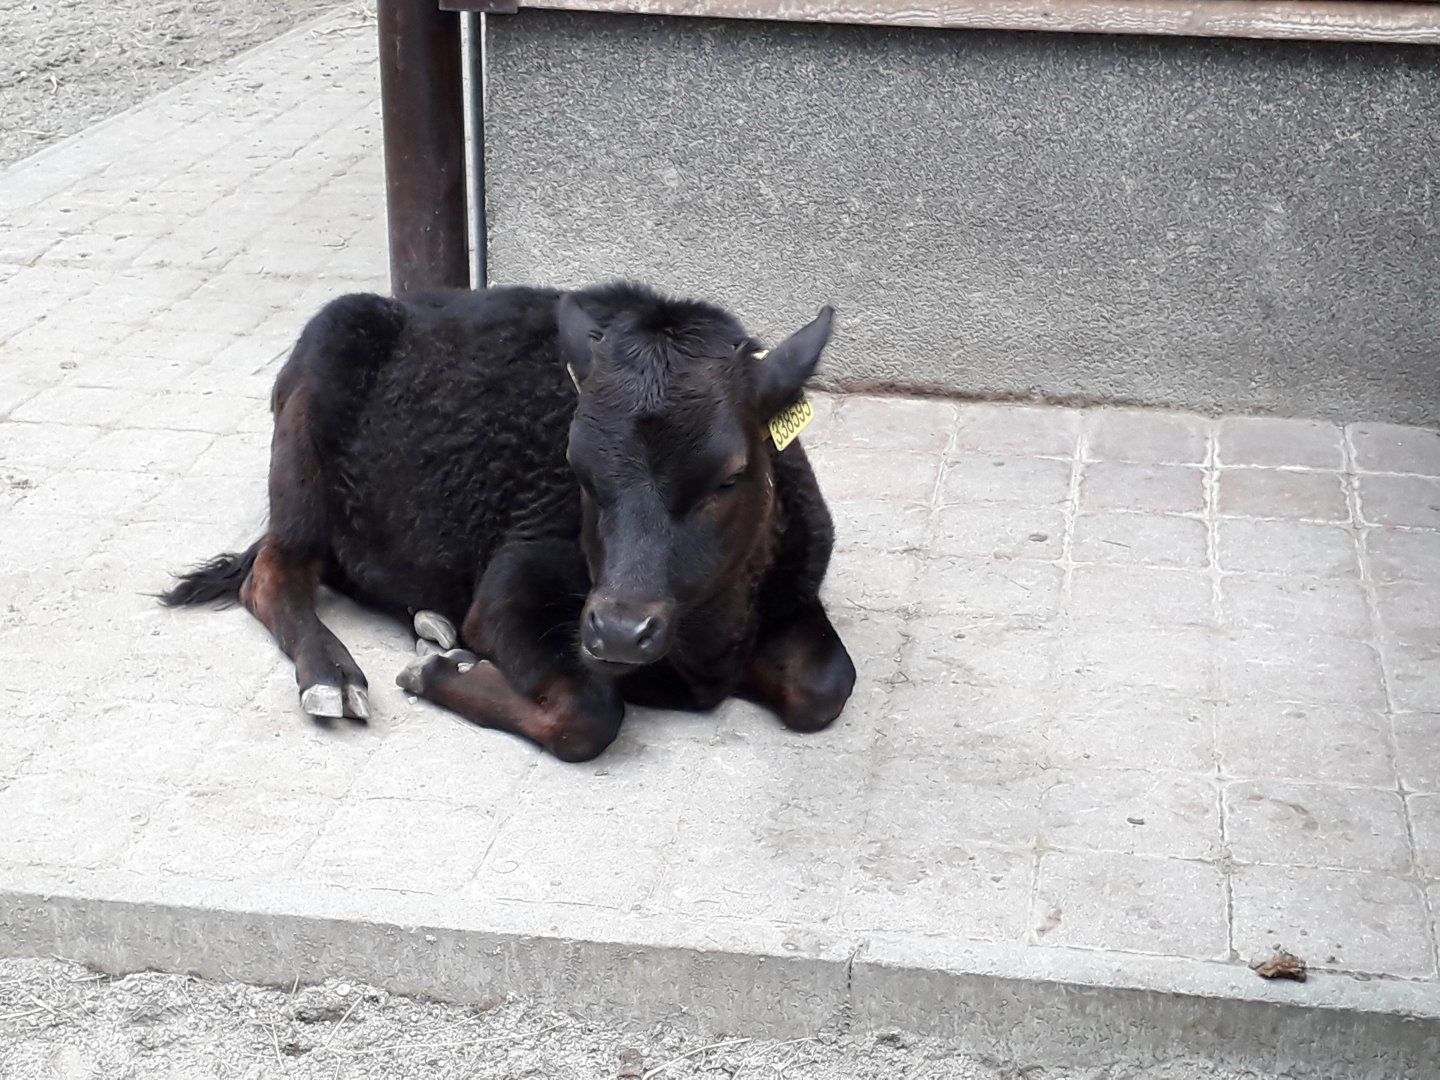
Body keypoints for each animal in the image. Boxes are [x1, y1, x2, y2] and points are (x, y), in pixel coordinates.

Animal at [161, 281, 856, 762]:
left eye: (729, 477)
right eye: (576, 470)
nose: (620, 631)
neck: (707, 650)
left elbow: (828, 683)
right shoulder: (510, 588)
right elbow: (587, 713)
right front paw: (440, 671)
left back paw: (426, 618)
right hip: (302, 459)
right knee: (274, 572)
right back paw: (332, 675)